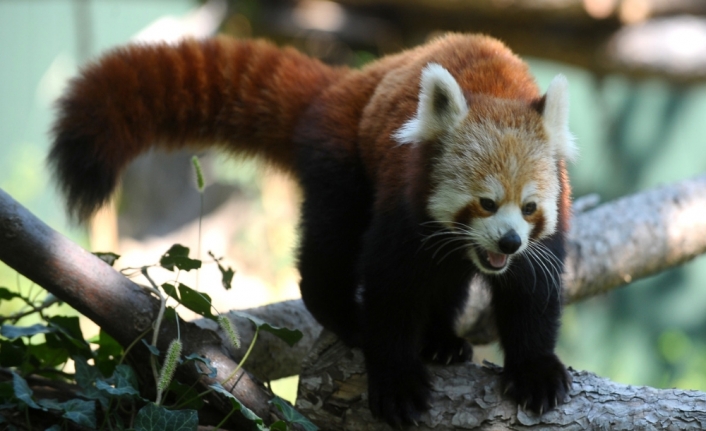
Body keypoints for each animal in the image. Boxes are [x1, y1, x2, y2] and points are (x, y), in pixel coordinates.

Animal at [51, 33, 576, 426]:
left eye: (529, 207)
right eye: (486, 203)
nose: (508, 241)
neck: (498, 90)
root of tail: (349, 82)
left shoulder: (543, 237)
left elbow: (532, 298)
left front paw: (535, 372)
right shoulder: (403, 204)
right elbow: (392, 289)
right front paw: (397, 378)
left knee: (443, 280)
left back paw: (442, 340)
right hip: (344, 159)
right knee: (332, 243)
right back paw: (343, 315)